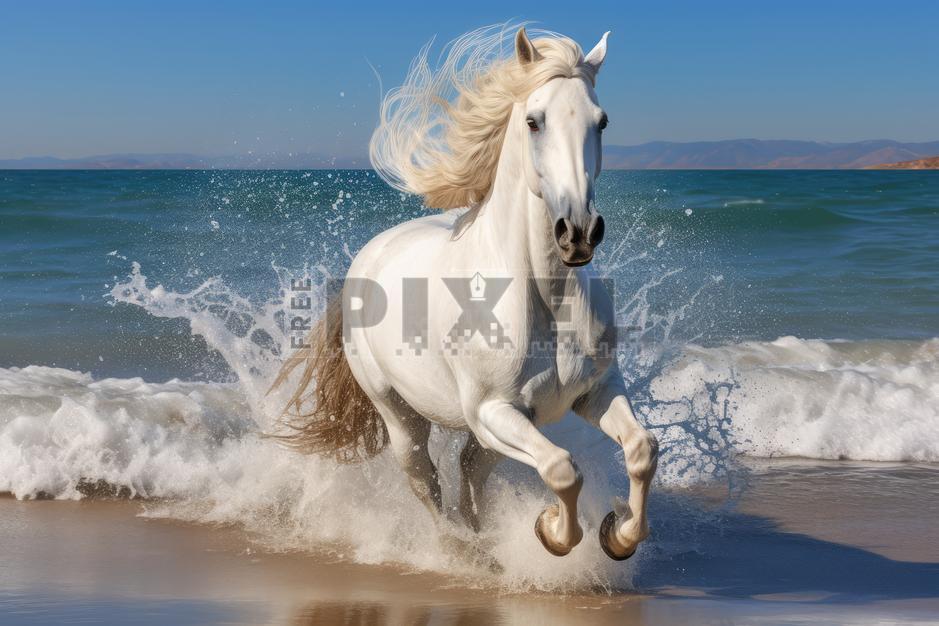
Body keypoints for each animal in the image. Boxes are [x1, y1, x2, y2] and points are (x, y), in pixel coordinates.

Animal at [271, 24, 658, 561]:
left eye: (601, 122)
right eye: (534, 122)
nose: (578, 232)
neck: (545, 301)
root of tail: (366, 257)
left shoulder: (596, 391)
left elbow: (642, 451)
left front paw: (617, 535)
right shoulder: (492, 412)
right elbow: (562, 468)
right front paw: (550, 530)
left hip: (491, 435)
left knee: (471, 472)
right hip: (402, 417)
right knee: (425, 479)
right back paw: (457, 549)